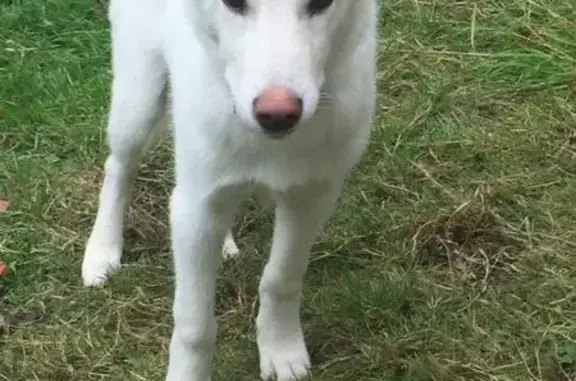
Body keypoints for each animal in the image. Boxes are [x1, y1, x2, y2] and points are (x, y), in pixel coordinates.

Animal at [81, 0, 378, 378]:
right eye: (234, 3)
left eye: (322, 4)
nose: (278, 115)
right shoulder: (193, 210)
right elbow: (194, 325)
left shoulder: (311, 197)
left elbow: (282, 278)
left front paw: (281, 349)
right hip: (138, 98)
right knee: (118, 168)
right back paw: (102, 250)